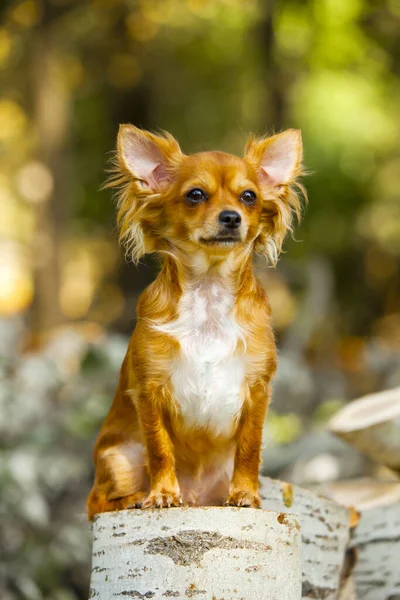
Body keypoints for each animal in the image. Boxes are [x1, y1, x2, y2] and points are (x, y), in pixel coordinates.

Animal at [86, 124, 304, 516]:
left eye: (249, 196)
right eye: (196, 195)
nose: (231, 216)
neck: (209, 292)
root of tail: (199, 498)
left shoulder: (257, 390)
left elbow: (250, 448)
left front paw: (245, 493)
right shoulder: (149, 391)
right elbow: (159, 447)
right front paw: (162, 494)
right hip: (121, 457)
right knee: (95, 502)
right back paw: (136, 498)